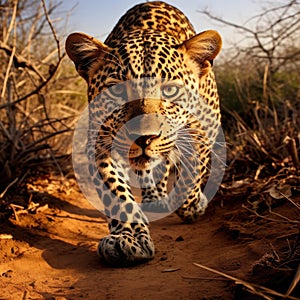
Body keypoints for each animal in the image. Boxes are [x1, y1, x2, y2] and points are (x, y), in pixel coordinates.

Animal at [65, 0, 221, 268]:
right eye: (117, 91)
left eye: (169, 91)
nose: (144, 138)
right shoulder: (100, 143)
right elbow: (117, 194)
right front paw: (128, 239)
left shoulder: (201, 133)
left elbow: (190, 177)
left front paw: (192, 205)